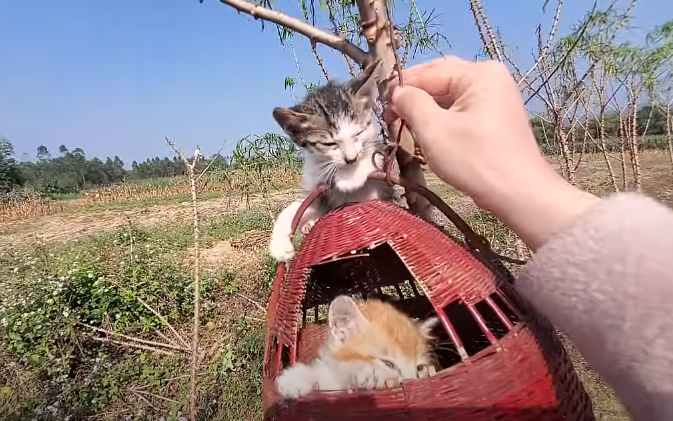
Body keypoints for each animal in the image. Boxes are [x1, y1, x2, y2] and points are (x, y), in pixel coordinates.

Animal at [266, 60, 394, 260]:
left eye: (358, 133)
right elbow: (297, 207)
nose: (351, 159)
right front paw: (279, 245)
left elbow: (372, 157)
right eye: (330, 143)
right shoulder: (317, 190)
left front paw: (351, 176)